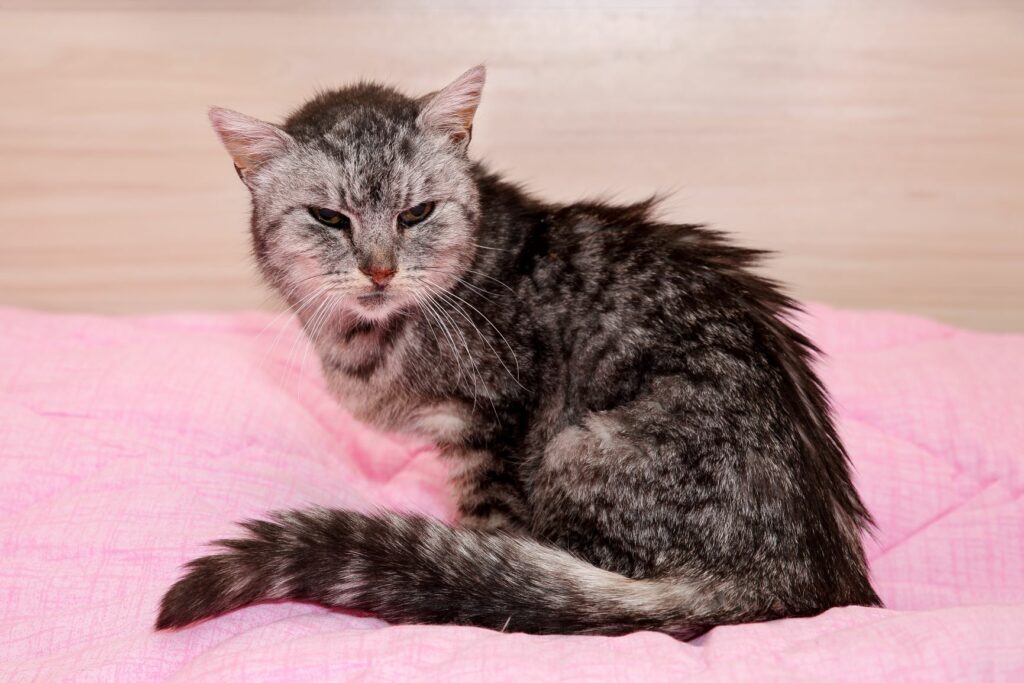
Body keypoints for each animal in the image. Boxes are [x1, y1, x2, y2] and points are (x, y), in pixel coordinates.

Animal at [153, 66, 880, 638]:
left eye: (416, 214)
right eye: (329, 218)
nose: (379, 270)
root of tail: (802, 582)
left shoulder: (490, 425)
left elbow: (488, 529)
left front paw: (474, 572)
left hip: (577, 448)